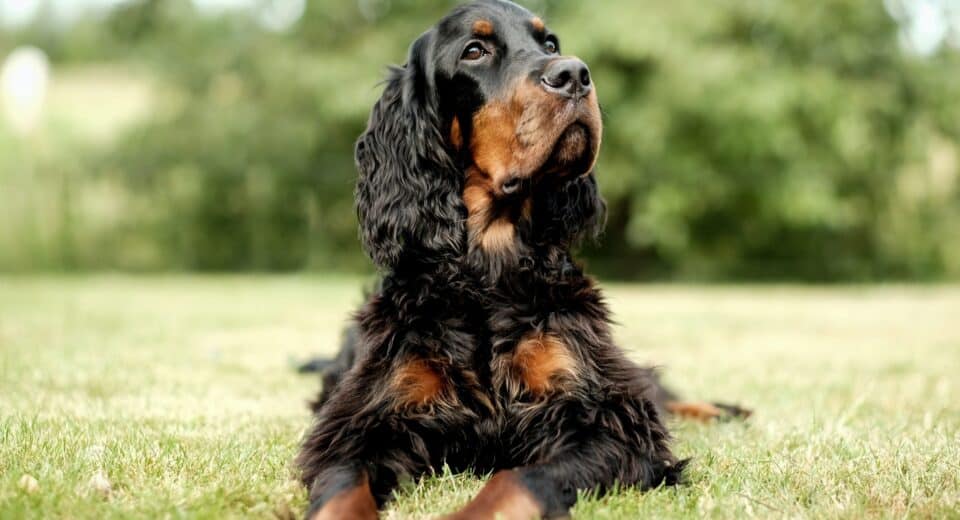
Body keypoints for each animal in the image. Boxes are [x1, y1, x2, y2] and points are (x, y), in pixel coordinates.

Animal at [296, 2, 748, 516]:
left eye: (548, 43)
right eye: (475, 51)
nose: (574, 74)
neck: (487, 271)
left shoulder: (606, 415)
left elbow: (516, 480)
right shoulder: (362, 419)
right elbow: (341, 489)